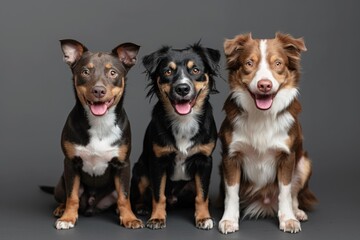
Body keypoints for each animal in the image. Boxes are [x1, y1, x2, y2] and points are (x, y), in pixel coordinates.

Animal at [49, 38, 145, 230]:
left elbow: (124, 196)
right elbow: (72, 196)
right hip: (61, 183)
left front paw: (129, 218)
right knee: (66, 196)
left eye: (113, 73)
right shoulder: (71, 164)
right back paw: (61, 208)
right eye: (85, 71)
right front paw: (67, 218)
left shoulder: (123, 165)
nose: (98, 90)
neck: (100, 124)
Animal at [129, 44, 219, 230]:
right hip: (140, 172)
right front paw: (156, 218)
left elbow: (202, 195)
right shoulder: (157, 162)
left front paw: (203, 217)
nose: (182, 88)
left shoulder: (205, 161)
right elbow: (158, 195)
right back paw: (142, 207)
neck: (183, 120)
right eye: (168, 72)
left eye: (195, 70)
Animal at [217, 32, 316, 233]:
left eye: (277, 63)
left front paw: (288, 219)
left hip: (304, 162)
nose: (264, 85)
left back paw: (297, 212)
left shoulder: (287, 156)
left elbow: (285, 191)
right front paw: (229, 219)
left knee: (294, 193)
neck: (261, 115)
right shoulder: (230, 156)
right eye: (249, 63)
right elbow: (231, 192)